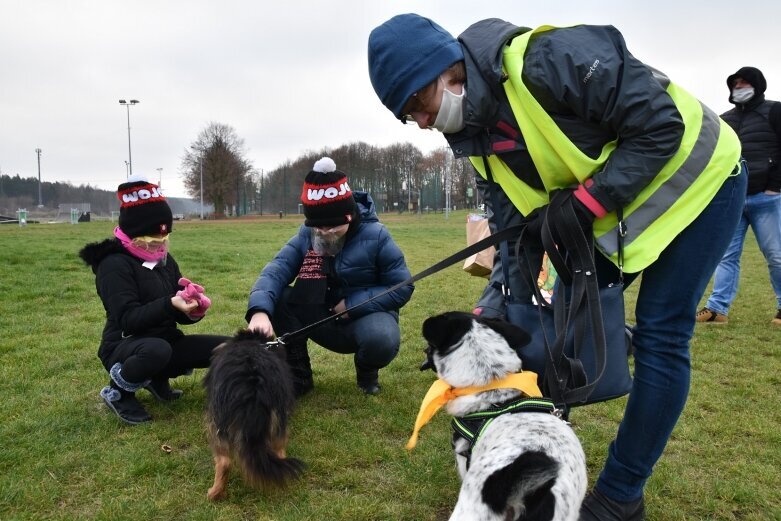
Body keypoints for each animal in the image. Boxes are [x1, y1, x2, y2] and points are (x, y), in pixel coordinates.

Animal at [203, 330, 304, 500]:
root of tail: (253, 385)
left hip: (217, 421)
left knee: (224, 461)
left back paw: (214, 494)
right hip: (279, 417)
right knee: (278, 451)